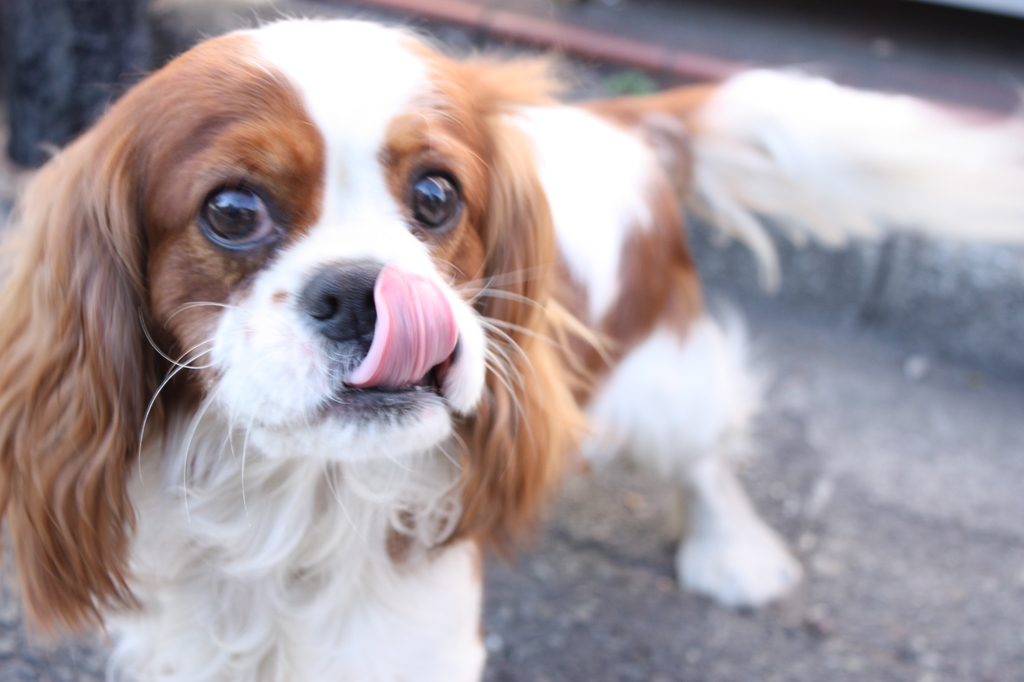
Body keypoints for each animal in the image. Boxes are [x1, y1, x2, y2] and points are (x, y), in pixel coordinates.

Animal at [2, 17, 1024, 679]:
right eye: (231, 209)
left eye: (437, 195)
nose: (367, 292)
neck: (291, 500)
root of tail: (622, 123)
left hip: (662, 380)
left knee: (704, 449)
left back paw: (732, 551)